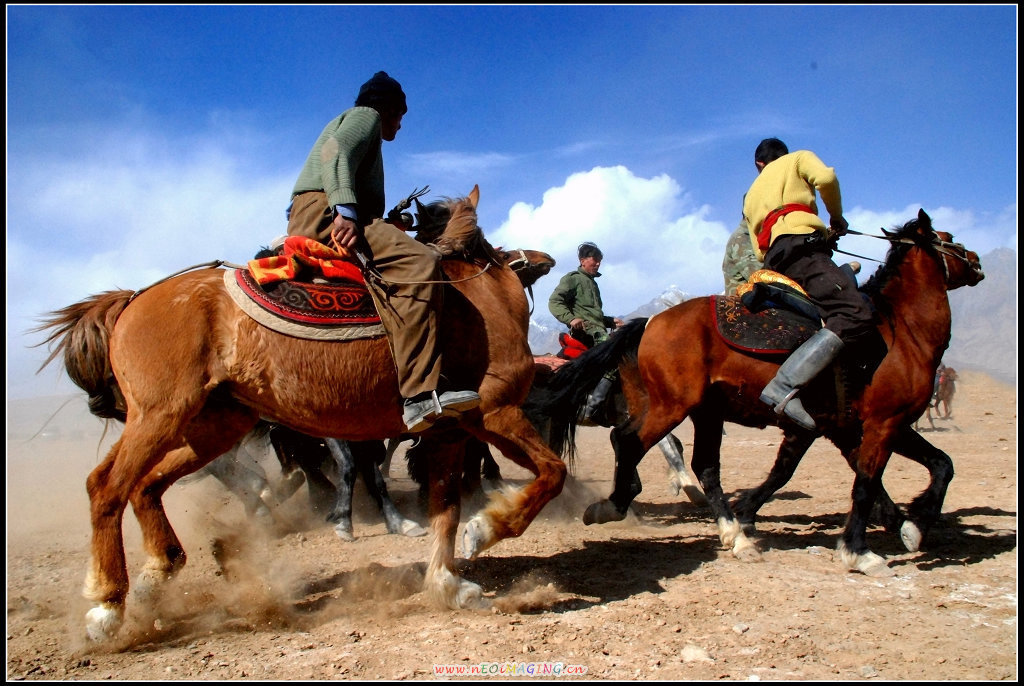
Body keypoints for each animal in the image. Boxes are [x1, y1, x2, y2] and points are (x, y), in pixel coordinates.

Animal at [37, 185, 569, 642]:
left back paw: (155, 579)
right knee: (107, 487)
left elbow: (445, 508)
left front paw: (448, 586)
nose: (544, 261)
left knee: (146, 486)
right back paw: (108, 607)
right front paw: (487, 530)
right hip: (161, 414)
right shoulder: (496, 413)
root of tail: (132, 300)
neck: (475, 297)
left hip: (212, 425)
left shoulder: (448, 433)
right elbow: (550, 474)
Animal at [532, 210, 978, 581]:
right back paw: (613, 506)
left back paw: (732, 534)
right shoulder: (881, 422)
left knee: (694, 462)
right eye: (950, 238)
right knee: (630, 441)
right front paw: (862, 548)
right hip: (672, 405)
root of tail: (652, 322)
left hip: (697, 410)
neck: (899, 331)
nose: (976, 261)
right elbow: (864, 480)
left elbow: (936, 464)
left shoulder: (852, 425)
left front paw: (909, 525)